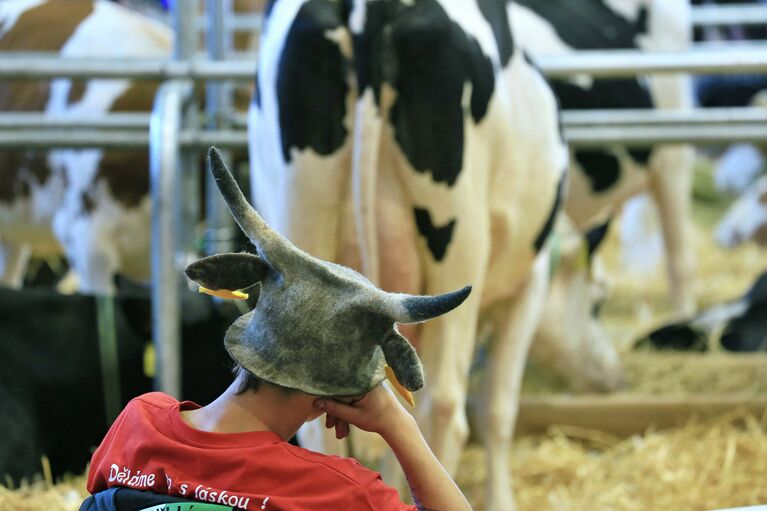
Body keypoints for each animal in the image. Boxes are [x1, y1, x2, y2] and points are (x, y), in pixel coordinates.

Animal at [249, 1, 568, 508]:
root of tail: (369, 9)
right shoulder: (528, 284)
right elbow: (498, 407)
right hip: (459, 244)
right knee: (445, 405)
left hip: (298, 218)